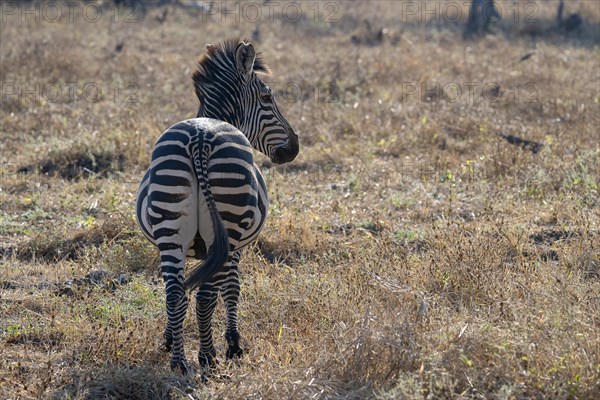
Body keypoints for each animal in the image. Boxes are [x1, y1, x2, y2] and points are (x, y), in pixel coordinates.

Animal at [135, 39, 296, 374]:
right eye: (267, 97)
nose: (294, 148)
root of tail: (201, 136)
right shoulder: (236, 248)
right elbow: (232, 288)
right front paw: (234, 344)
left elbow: (177, 292)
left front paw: (168, 339)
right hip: (228, 226)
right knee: (206, 294)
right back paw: (207, 357)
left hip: (170, 225)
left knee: (175, 293)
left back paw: (179, 362)